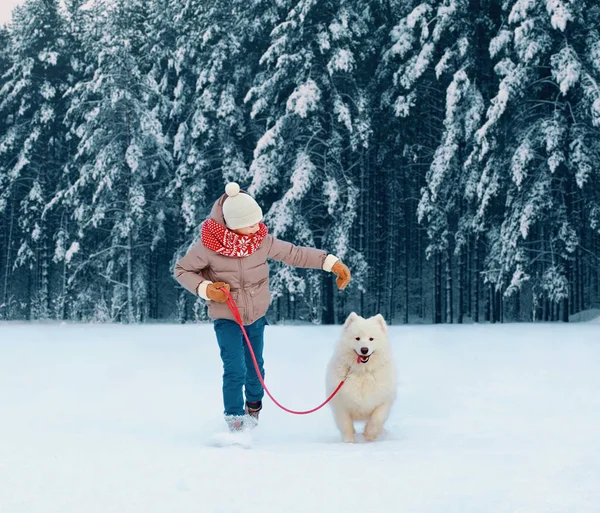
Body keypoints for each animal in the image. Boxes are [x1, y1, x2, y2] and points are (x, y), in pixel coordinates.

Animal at [326, 310, 396, 442]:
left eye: (371, 339)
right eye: (357, 338)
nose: (364, 349)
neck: (363, 372)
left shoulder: (383, 400)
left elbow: (376, 419)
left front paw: (369, 435)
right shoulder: (341, 405)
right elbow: (346, 425)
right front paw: (349, 442)